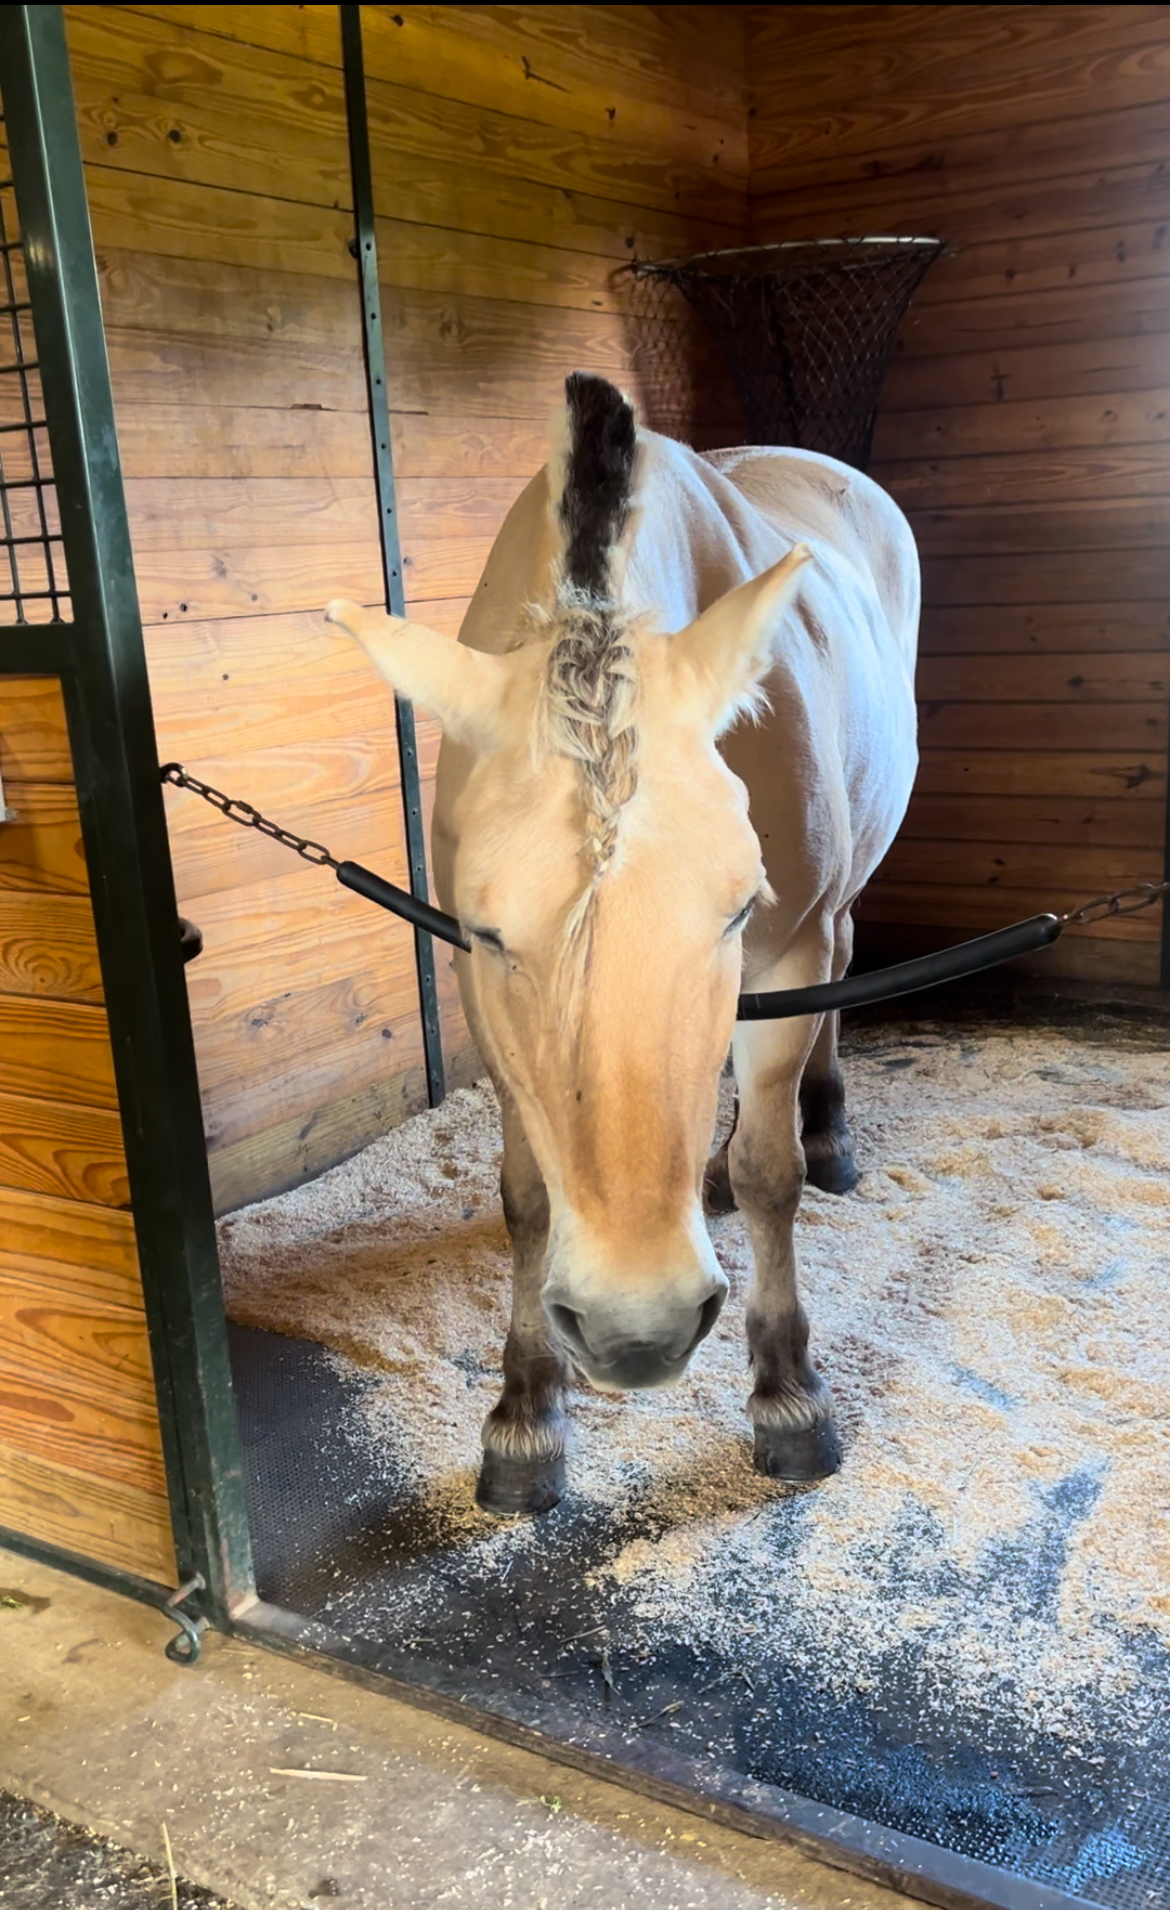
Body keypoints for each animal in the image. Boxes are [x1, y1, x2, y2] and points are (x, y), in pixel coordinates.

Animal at [324, 364, 916, 1512]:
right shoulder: (474, 983)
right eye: (493, 931)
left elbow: (773, 1172)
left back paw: (825, 1130)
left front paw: (789, 1396)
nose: (634, 1331)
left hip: (835, 902)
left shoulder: (781, 942)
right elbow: (525, 1197)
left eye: (734, 908)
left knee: (838, 967)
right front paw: (525, 1416)